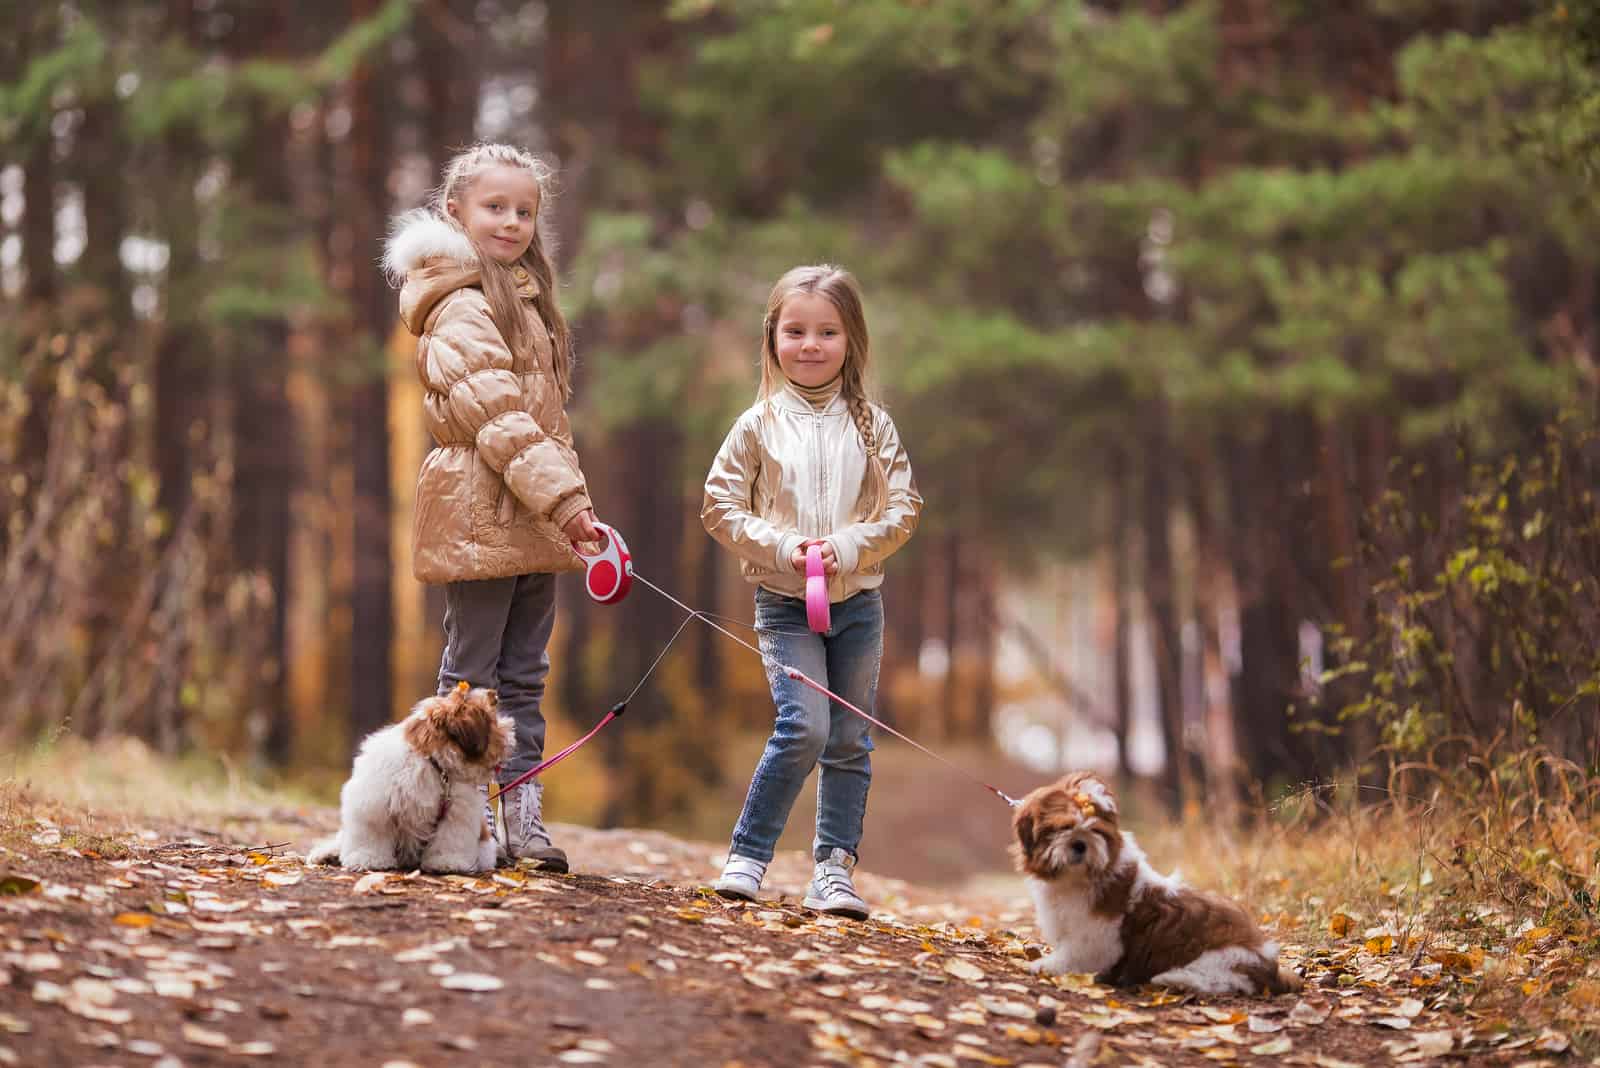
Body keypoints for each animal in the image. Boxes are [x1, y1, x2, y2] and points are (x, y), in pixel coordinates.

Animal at [307, 684, 512, 876]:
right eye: (495, 724)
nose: (510, 737)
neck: (433, 764)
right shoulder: (374, 805)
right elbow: (372, 834)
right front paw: (369, 858)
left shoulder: (457, 813)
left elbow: (450, 838)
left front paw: (446, 862)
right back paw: (327, 854)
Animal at [1011, 770, 1299, 997]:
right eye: (1062, 828)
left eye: (1096, 831)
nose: (1080, 844)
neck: (1076, 879)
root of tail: (1270, 963)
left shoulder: (1097, 936)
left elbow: (1077, 953)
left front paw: (1047, 965)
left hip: (1223, 957)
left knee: (1224, 981)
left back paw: (1174, 979)